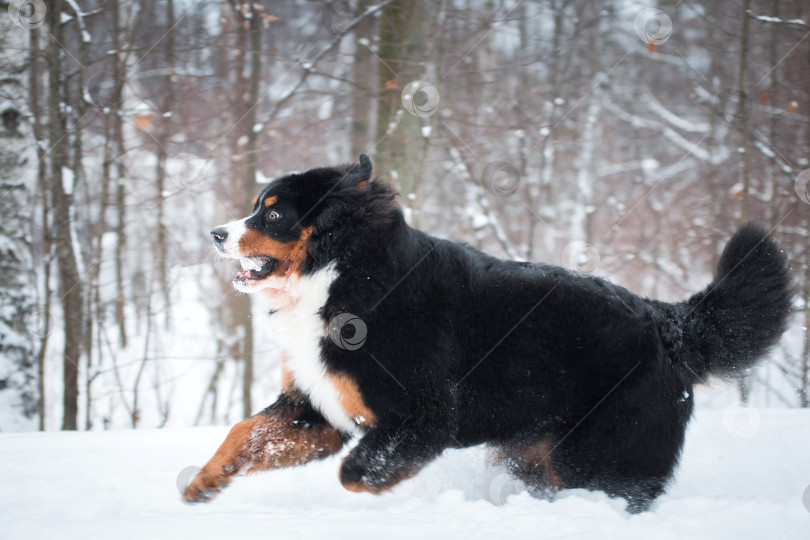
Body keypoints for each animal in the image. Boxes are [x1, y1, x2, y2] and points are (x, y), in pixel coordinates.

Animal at [183, 152, 788, 510]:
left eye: (274, 214)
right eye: (256, 207)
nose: (215, 233)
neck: (342, 273)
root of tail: (667, 323)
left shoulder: (422, 415)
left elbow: (355, 473)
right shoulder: (315, 405)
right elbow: (243, 432)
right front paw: (205, 480)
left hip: (599, 456)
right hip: (541, 450)